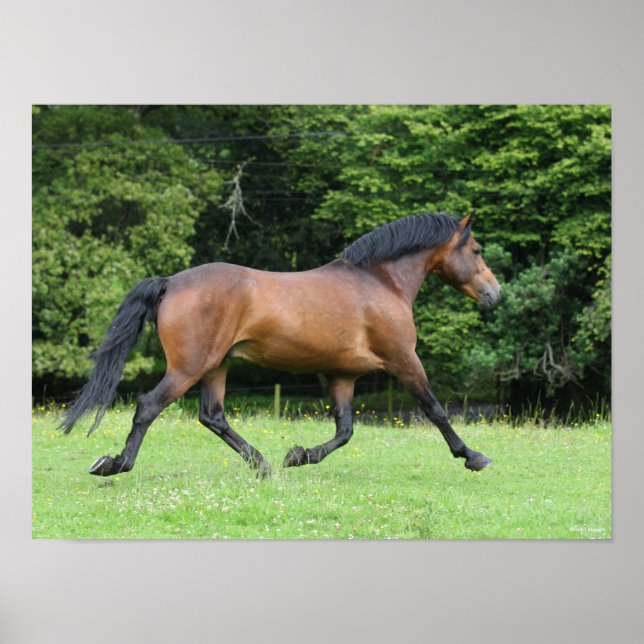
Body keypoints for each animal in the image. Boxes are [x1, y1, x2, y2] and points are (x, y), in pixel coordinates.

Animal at [61, 212, 502, 477]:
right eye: (477, 250)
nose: (495, 294)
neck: (380, 282)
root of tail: (170, 281)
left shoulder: (342, 375)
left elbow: (345, 431)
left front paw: (298, 456)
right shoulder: (404, 361)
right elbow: (436, 410)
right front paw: (473, 456)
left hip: (215, 366)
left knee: (212, 416)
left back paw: (264, 465)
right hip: (188, 367)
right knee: (149, 406)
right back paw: (115, 464)